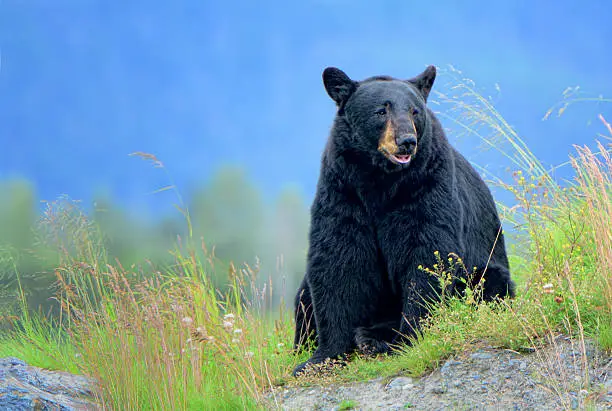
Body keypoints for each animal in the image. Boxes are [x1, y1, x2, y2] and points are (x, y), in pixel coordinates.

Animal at [294, 64, 512, 376]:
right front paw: (321, 357)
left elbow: (427, 256)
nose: (407, 141)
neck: (380, 181)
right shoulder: (342, 191)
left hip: (486, 270)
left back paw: (374, 337)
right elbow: (339, 259)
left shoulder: (425, 186)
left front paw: (406, 338)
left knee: (487, 284)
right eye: (380, 110)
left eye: (414, 111)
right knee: (304, 296)